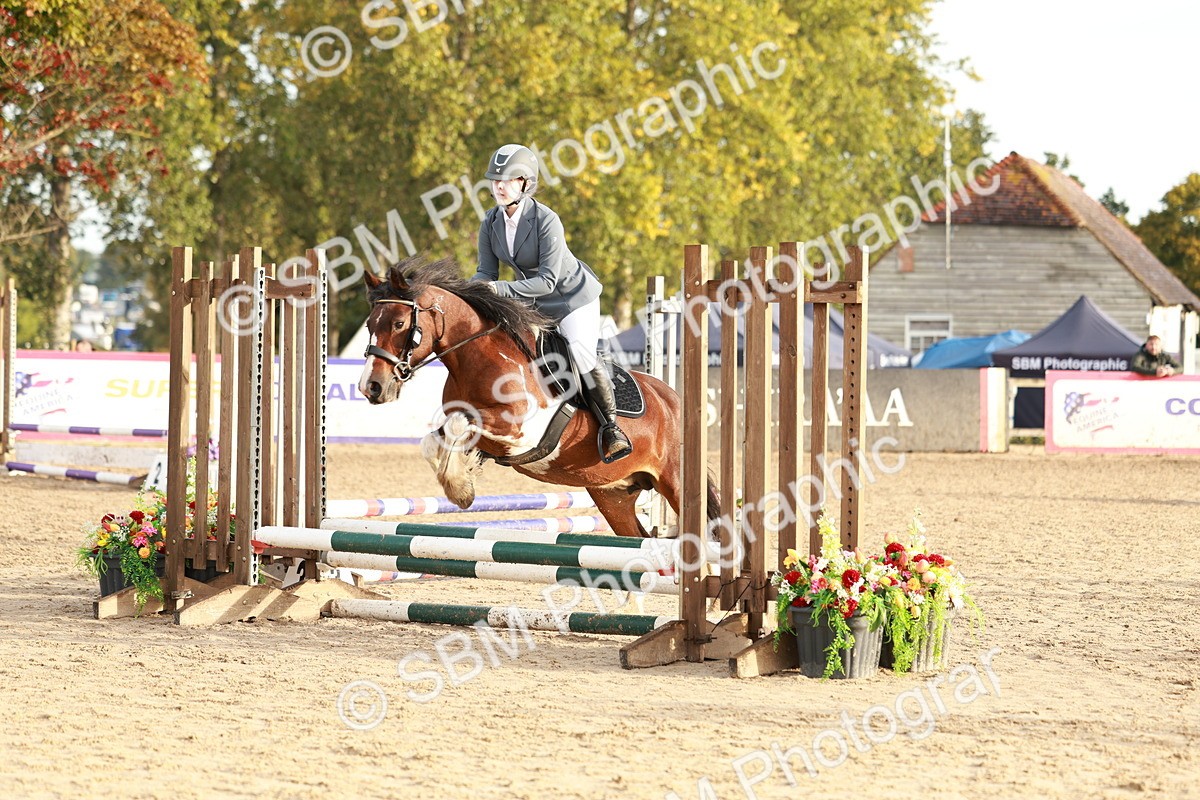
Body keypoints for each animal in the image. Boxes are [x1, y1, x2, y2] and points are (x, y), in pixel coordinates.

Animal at [357, 256, 718, 538]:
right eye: (370, 324)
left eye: (399, 323)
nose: (371, 387)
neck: (479, 356)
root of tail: (674, 400)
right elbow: (435, 439)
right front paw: (462, 486)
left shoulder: (524, 429)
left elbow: (461, 423)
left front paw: (460, 486)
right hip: (613, 494)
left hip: (675, 482)